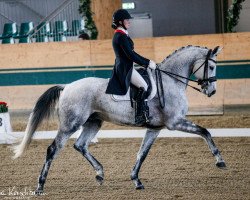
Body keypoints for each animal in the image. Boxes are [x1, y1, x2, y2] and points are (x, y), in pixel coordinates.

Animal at [12, 45, 227, 192]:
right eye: (212, 66)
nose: (212, 91)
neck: (170, 81)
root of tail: (67, 87)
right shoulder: (175, 122)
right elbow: (205, 132)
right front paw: (220, 161)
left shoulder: (155, 128)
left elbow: (142, 153)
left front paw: (136, 180)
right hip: (70, 124)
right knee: (53, 149)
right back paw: (40, 186)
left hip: (94, 122)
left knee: (80, 145)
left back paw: (100, 174)